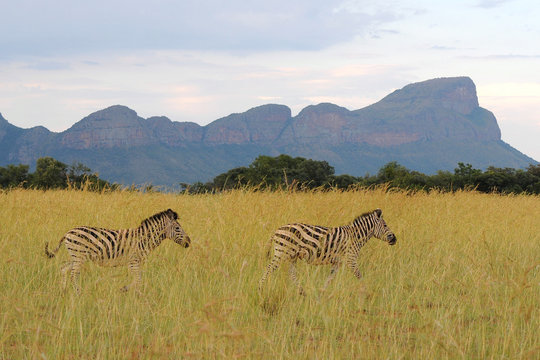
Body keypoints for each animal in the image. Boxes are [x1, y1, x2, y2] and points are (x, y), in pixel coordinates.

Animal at [44, 208, 192, 292]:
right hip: (79, 256)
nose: (189, 242)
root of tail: (68, 232)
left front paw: (126, 290)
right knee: (73, 274)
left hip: (76, 257)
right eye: (177, 228)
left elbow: (138, 279)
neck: (143, 238)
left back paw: (63, 290)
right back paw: (78, 292)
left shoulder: (135, 262)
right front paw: (132, 293)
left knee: (64, 268)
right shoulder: (133, 261)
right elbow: (138, 280)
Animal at [260, 210, 394, 294]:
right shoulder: (351, 259)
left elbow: (330, 278)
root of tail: (277, 230)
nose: (395, 239)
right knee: (268, 269)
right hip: (281, 253)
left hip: (292, 256)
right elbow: (360, 276)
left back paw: (302, 292)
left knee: (292, 274)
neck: (355, 237)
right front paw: (366, 292)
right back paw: (260, 288)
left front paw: (321, 292)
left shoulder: (338, 262)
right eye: (385, 225)